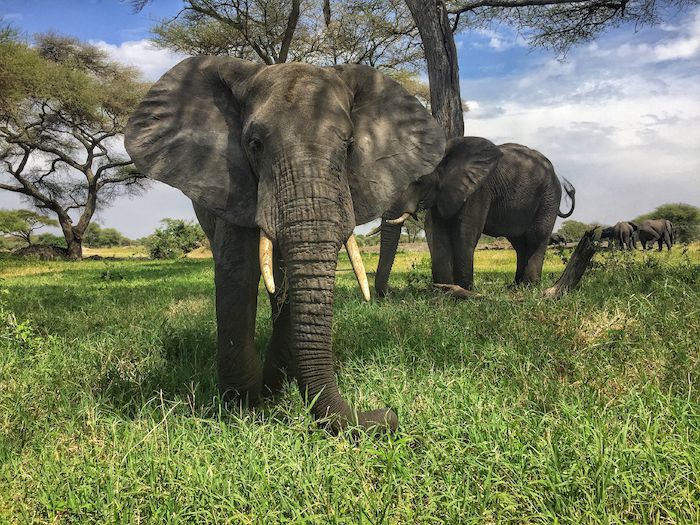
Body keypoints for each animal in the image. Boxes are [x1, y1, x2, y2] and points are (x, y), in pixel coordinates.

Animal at [124, 57, 446, 432]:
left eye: (349, 147)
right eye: (255, 144)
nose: (388, 415)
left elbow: (292, 281)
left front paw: (270, 389)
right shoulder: (234, 184)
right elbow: (238, 271)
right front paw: (243, 403)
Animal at [374, 137, 575, 296]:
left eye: (418, 181)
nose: (389, 292)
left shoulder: (478, 190)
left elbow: (465, 233)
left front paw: (462, 290)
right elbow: (437, 232)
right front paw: (444, 290)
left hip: (550, 196)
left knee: (536, 236)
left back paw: (529, 286)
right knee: (519, 242)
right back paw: (515, 286)